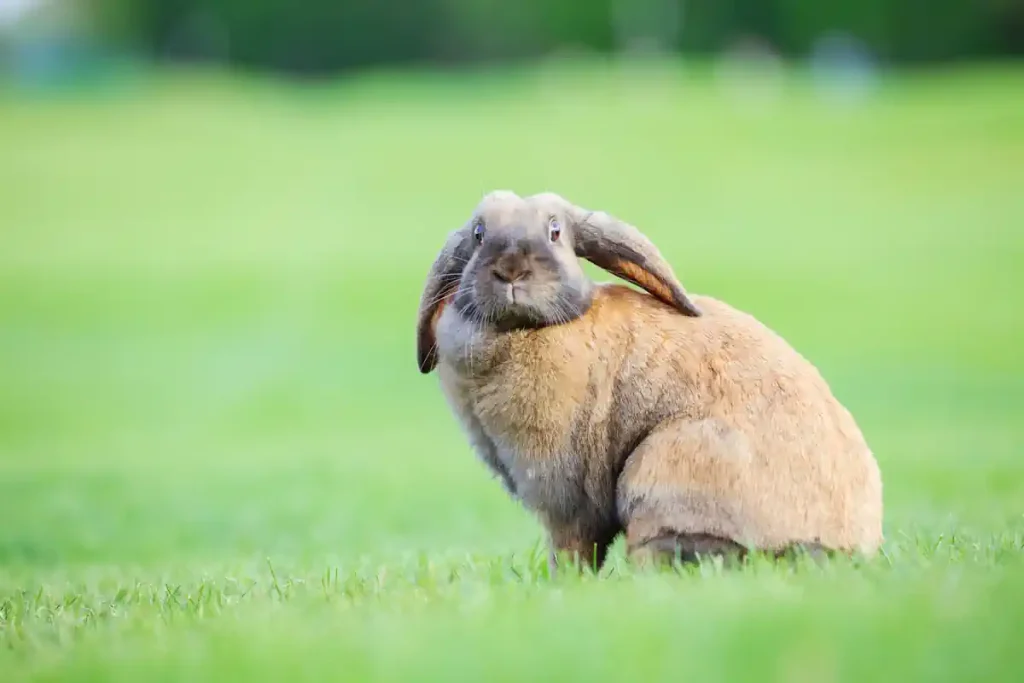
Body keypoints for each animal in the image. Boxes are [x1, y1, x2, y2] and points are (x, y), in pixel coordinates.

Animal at [416, 189, 883, 570]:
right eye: (478, 234)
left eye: (555, 232)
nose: (511, 269)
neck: (523, 330)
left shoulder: (564, 497)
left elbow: (572, 550)